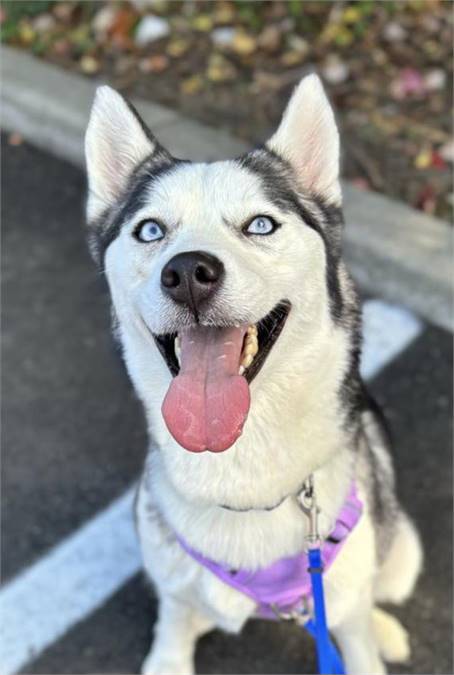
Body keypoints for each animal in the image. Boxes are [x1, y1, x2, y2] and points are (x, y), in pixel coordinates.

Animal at [85, 75, 422, 675]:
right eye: (150, 230)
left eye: (260, 224)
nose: (187, 272)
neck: (241, 478)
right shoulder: (173, 603)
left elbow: (357, 629)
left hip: (401, 552)